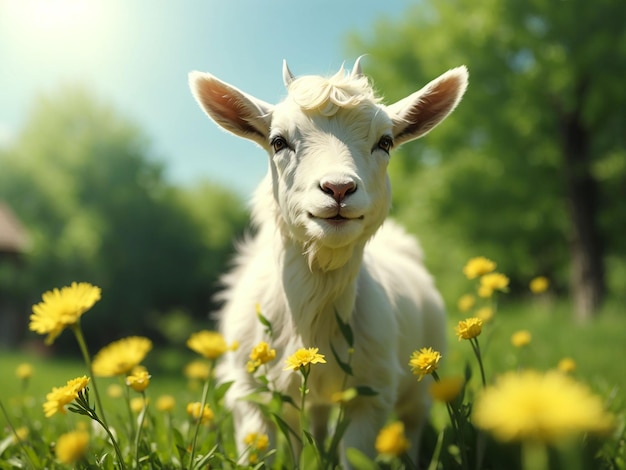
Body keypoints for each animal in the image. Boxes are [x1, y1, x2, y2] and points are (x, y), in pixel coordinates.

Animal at [188, 57, 466, 464]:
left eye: (385, 142)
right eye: (278, 141)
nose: (338, 188)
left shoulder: (370, 393)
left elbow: (358, 456)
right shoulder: (250, 393)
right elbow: (261, 452)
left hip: (420, 374)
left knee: (412, 427)